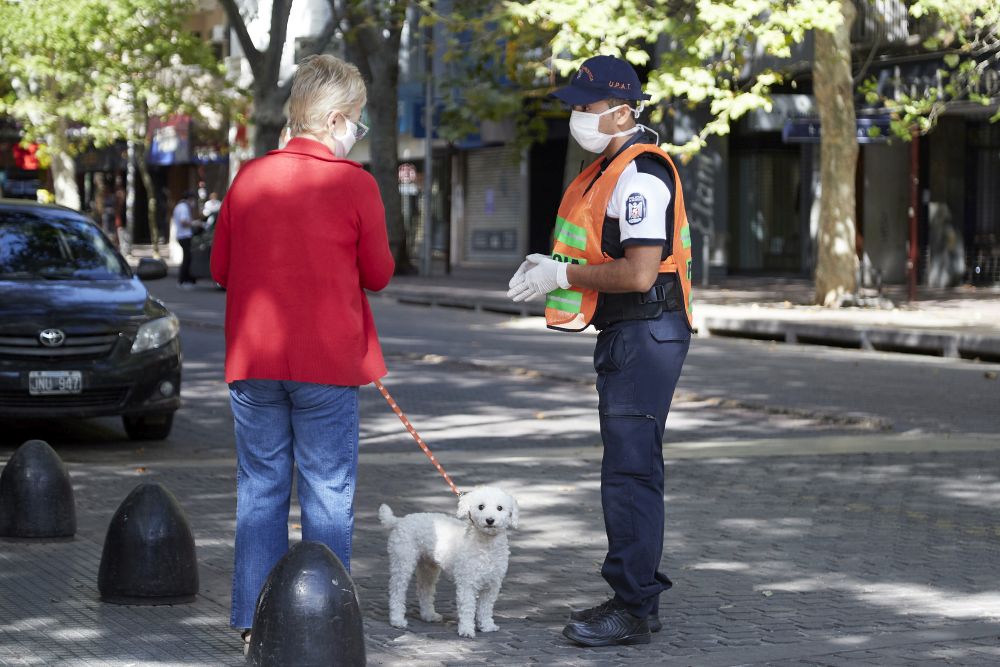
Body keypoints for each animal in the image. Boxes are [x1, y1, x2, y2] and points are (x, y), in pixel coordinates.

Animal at [378, 488, 520, 640]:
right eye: (481, 506)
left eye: (500, 508)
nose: (490, 520)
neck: (486, 547)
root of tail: (400, 520)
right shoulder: (467, 583)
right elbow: (467, 607)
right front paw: (466, 630)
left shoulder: (492, 585)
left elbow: (486, 608)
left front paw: (487, 626)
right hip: (402, 562)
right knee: (397, 592)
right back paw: (397, 620)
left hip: (428, 568)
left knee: (424, 590)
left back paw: (429, 615)